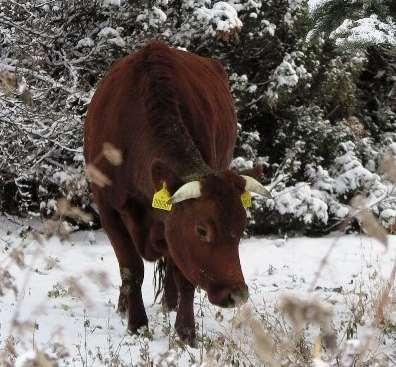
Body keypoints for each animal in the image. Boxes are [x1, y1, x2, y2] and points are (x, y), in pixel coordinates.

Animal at [83, 41, 270, 346]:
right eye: (202, 230)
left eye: (241, 228)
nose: (237, 294)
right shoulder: (107, 207)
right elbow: (131, 269)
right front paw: (137, 325)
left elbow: (184, 276)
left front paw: (185, 332)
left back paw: (169, 304)